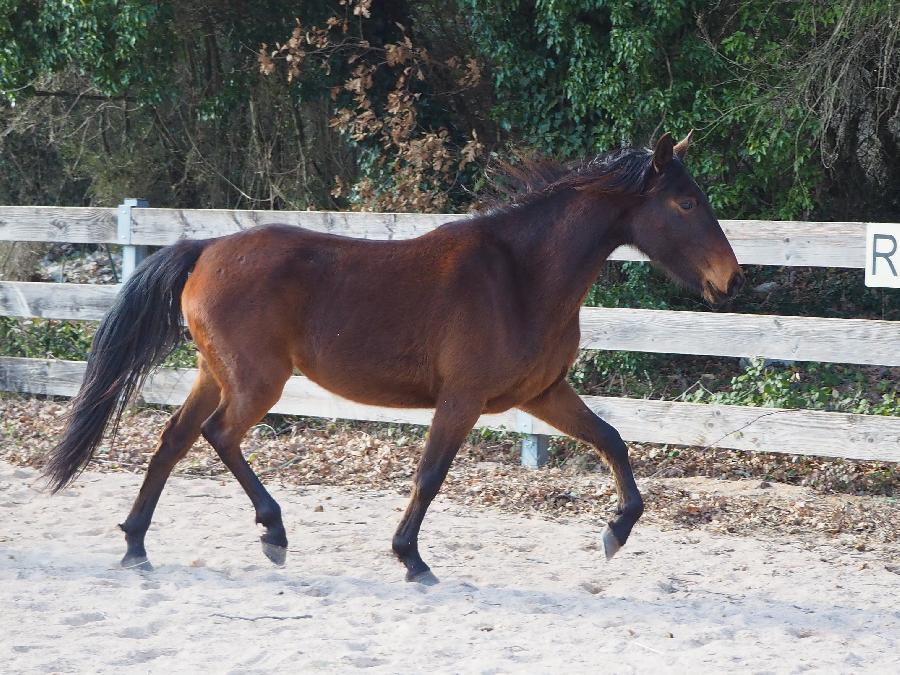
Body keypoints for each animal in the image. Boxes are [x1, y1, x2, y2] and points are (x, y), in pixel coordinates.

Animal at [44, 131, 744, 580]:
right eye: (686, 202)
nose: (732, 279)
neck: (521, 275)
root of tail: (207, 249)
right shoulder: (461, 400)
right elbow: (430, 475)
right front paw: (412, 559)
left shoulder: (543, 394)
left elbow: (613, 440)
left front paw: (616, 532)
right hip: (257, 382)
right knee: (218, 436)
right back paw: (273, 531)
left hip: (216, 375)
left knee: (174, 439)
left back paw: (136, 546)